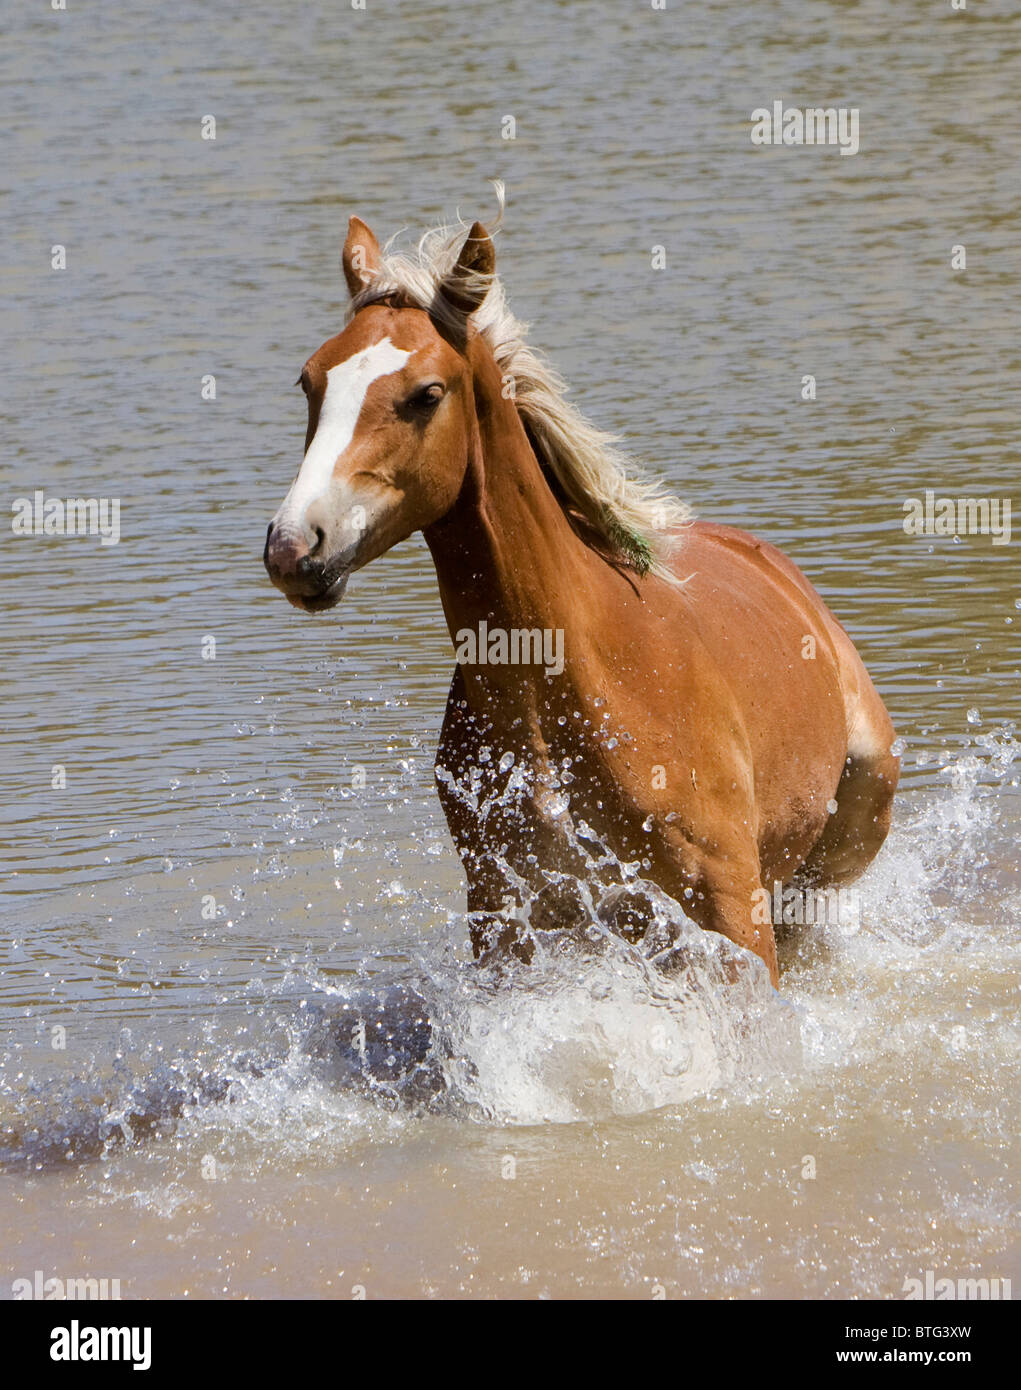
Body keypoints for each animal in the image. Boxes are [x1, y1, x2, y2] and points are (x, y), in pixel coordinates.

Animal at [263, 195, 899, 988]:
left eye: (426, 394)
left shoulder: (731, 907)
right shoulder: (510, 915)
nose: (294, 546)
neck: (569, 683)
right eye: (309, 381)